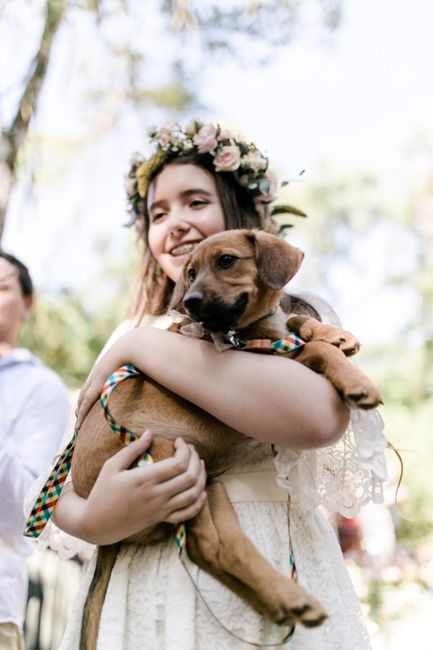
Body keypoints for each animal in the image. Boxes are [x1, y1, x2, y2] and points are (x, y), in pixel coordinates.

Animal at [74, 228, 382, 644]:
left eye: (226, 261)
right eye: (189, 273)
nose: (190, 302)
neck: (242, 331)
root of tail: (107, 535)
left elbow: (299, 319)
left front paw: (336, 334)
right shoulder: (271, 361)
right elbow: (315, 350)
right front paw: (356, 381)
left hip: (207, 481)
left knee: (218, 548)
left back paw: (282, 602)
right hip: (169, 460)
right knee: (205, 546)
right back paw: (290, 598)